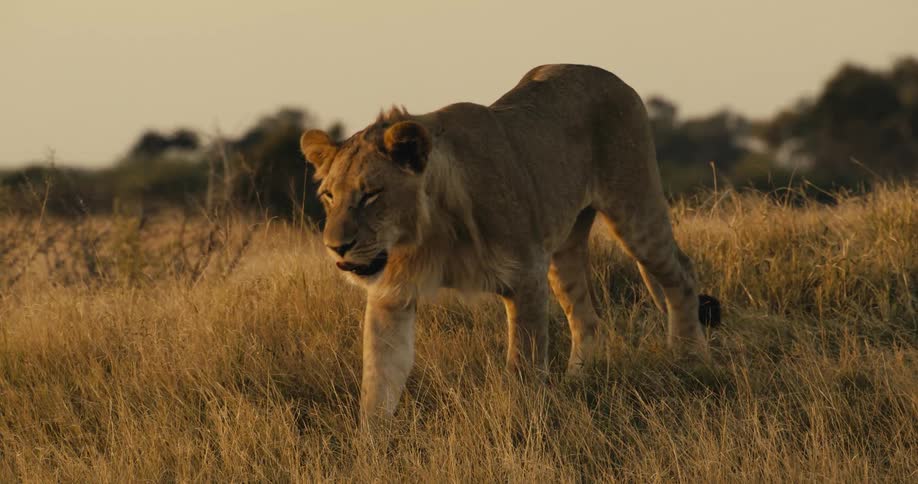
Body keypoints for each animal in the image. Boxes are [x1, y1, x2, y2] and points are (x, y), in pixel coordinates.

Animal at [300, 64, 721, 423]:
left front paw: (524, 426)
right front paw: (371, 449)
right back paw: (578, 381)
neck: (427, 234)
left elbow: (524, 367)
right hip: (562, 251)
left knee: (681, 275)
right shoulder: (391, 294)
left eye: (371, 194)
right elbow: (379, 383)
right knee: (586, 319)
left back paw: (690, 360)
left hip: (634, 211)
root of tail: (610, 76)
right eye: (329, 196)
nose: (336, 247)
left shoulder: (526, 277)